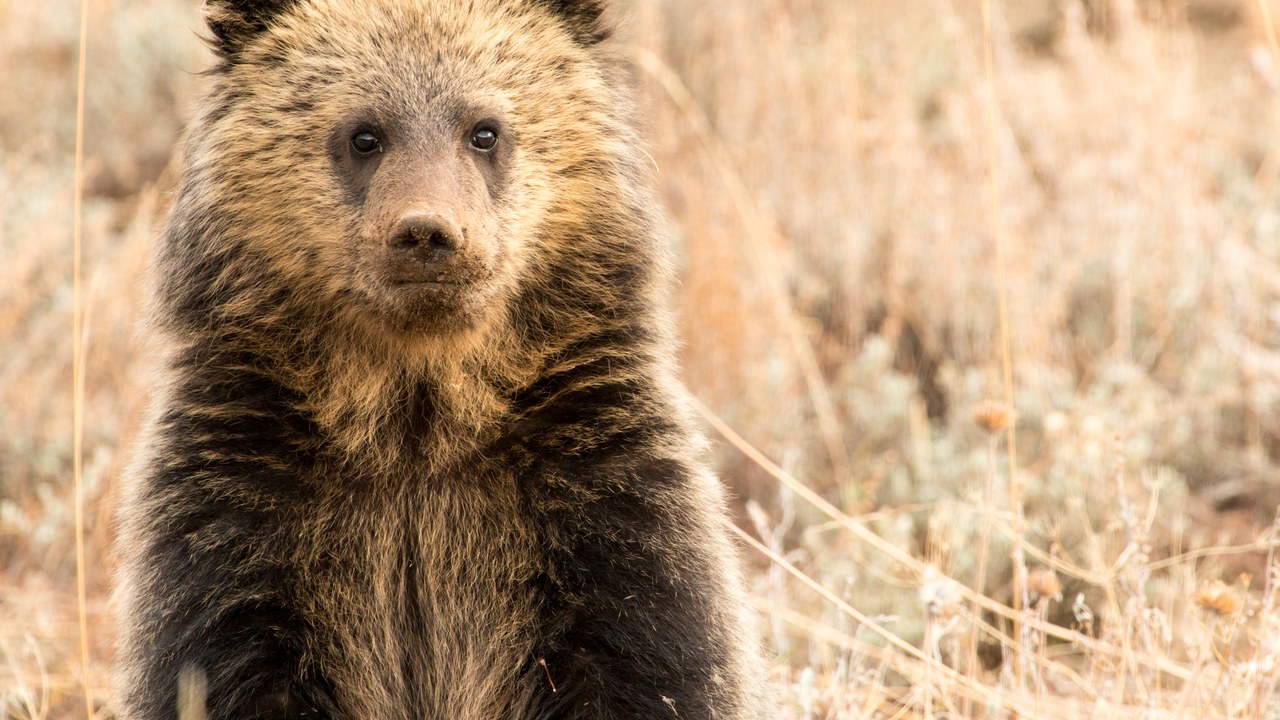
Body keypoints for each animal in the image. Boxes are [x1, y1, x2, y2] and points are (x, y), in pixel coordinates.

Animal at [113, 1, 770, 718]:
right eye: (364, 135)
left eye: (484, 131)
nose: (427, 233)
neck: (419, 418)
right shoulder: (244, 506)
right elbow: (220, 660)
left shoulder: (597, 496)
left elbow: (653, 659)